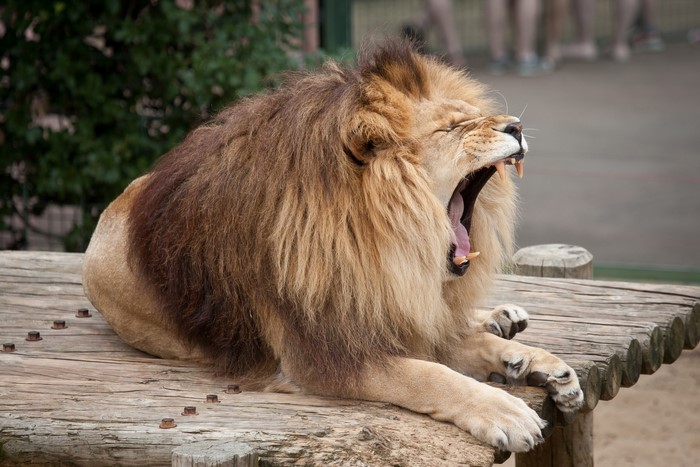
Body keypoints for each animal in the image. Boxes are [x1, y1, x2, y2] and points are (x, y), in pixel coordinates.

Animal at [82, 41, 583, 453]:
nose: (516, 126)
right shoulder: (322, 355)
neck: (382, 245)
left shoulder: (384, 313)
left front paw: (540, 363)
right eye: (454, 127)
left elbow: (450, 345)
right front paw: (506, 410)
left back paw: (505, 325)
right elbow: (428, 375)